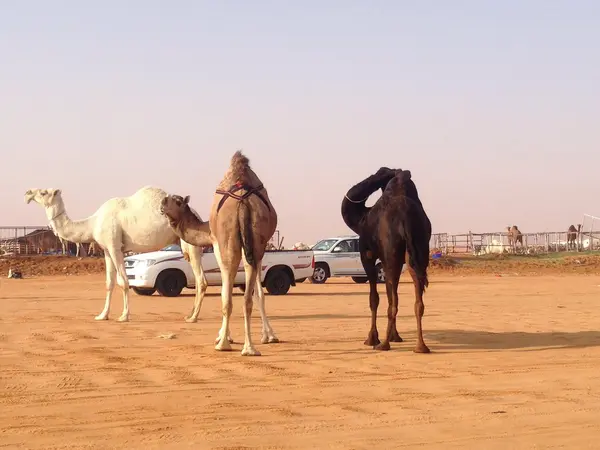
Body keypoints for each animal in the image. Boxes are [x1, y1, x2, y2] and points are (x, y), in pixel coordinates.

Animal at [25, 186, 209, 324]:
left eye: (43, 192)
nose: (27, 193)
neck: (92, 223)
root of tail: (197, 216)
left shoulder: (115, 246)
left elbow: (123, 281)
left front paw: (124, 316)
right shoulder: (106, 249)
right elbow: (109, 283)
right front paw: (102, 315)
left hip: (190, 243)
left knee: (201, 280)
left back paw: (193, 317)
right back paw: (190, 314)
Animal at [161, 151, 280, 356]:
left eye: (177, 201)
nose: (161, 203)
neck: (205, 229)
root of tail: (242, 201)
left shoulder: (217, 245)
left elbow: (224, 290)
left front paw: (224, 335)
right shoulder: (258, 249)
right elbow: (258, 293)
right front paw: (269, 336)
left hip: (228, 240)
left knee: (228, 296)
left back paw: (223, 343)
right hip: (256, 240)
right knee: (248, 296)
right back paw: (250, 348)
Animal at [342, 167, 432, 354]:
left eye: (382, 172)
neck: (362, 217)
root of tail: (405, 217)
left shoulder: (367, 255)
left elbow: (374, 298)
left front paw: (372, 338)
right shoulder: (386, 261)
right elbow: (390, 294)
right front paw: (395, 336)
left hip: (392, 253)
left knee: (394, 301)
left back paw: (383, 344)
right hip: (418, 252)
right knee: (416, 298)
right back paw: (420, 346)